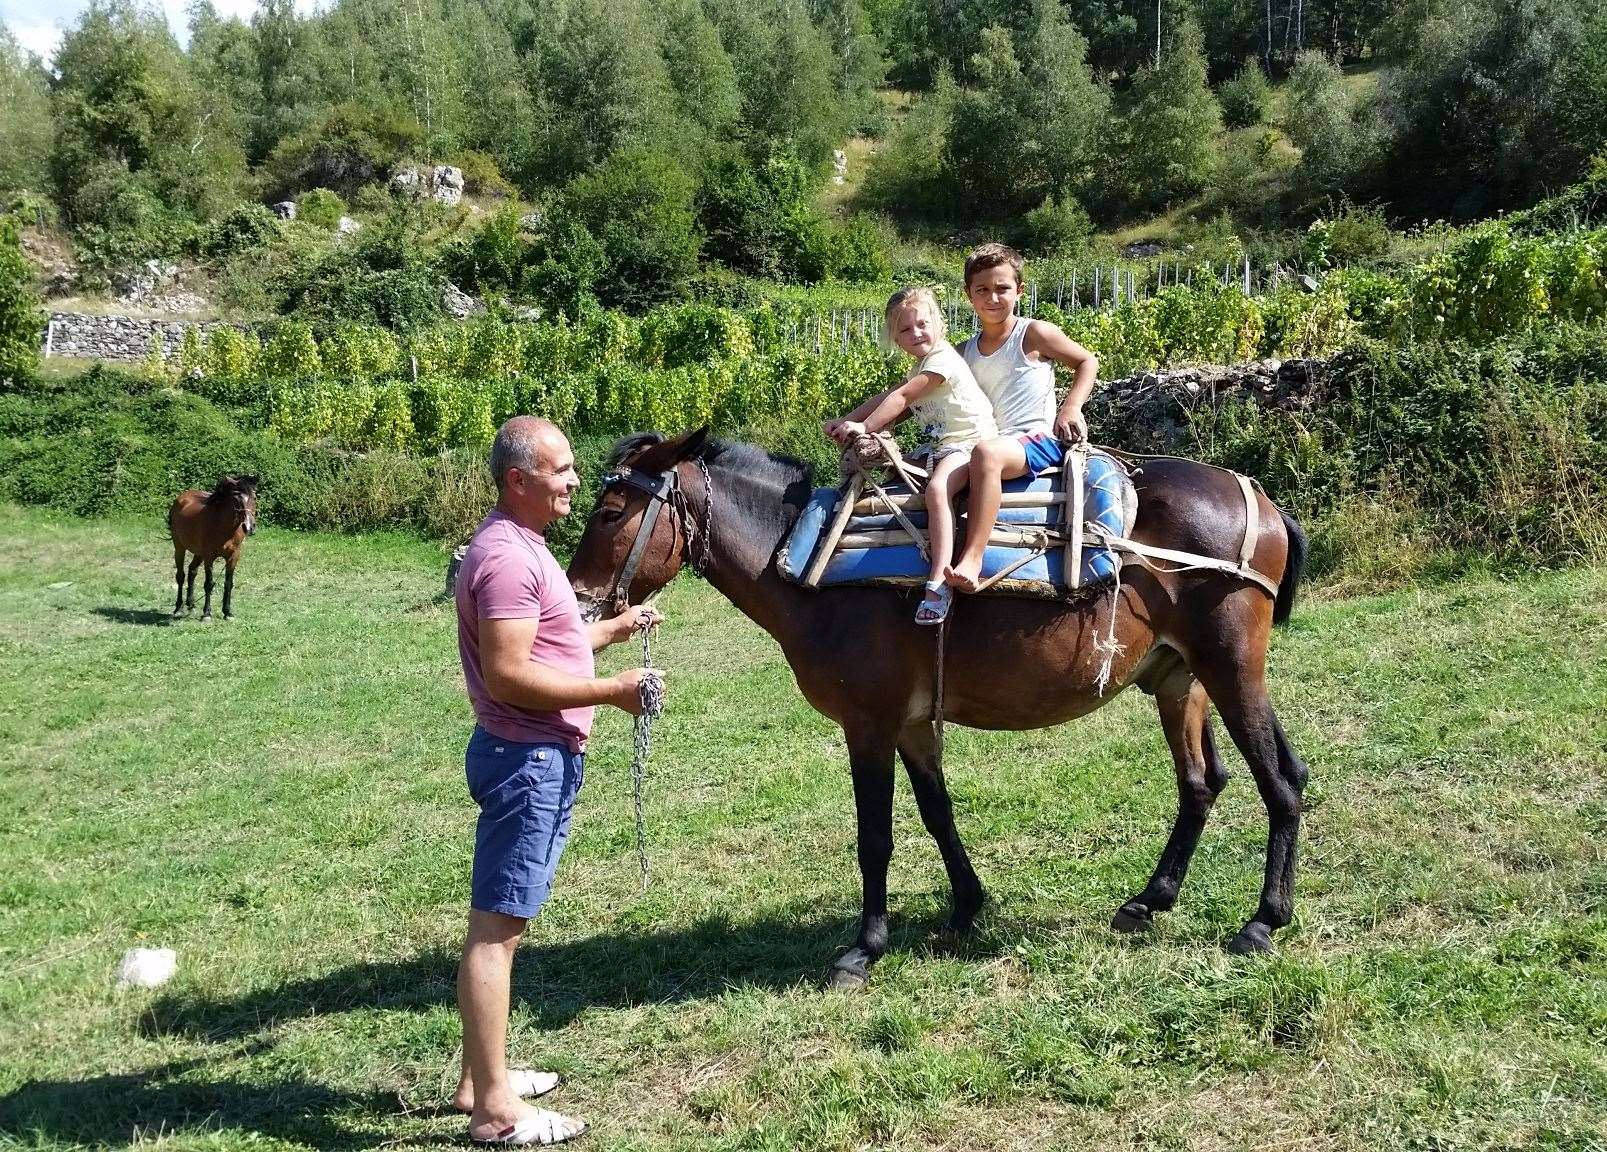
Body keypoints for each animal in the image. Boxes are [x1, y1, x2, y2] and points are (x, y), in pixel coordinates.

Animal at [167, 475, 257, 620]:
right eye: (236, 499)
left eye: (254, 497)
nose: (249, 527)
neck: (224, 527)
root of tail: (181, 497)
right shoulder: (209, 557)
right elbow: (209, 584)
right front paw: (207, 614)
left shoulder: (233, 556)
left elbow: (228, 583)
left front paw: (227, 612)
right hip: (179, 548)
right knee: (181, 576)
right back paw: (179, 608)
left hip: (198, 553)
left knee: (192, 571)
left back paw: (191, 603)